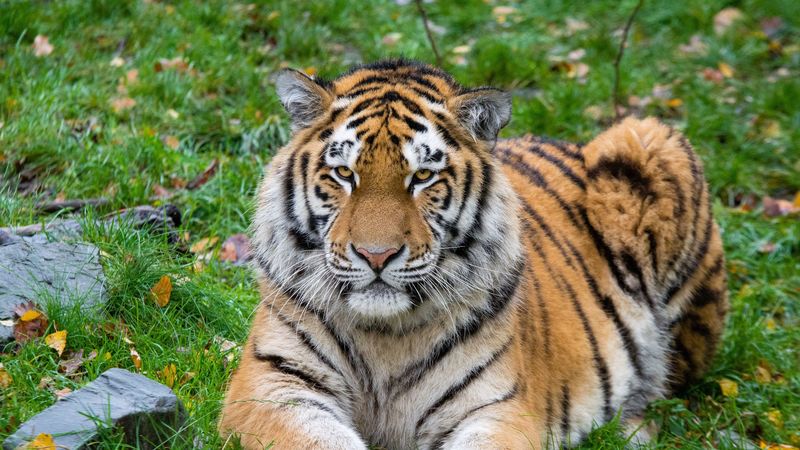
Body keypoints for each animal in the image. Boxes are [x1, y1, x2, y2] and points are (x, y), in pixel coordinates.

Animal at [219, 59, 728, 449]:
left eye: (422, 177)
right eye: (344, 173)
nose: (376, 256)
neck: (384, 339)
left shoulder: (497, 409)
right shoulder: (272, 387)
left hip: (650, 139)